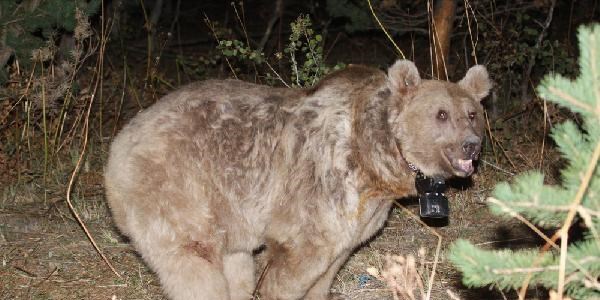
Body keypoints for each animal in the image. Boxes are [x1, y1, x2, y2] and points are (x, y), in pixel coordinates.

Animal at [105, 59, 492, 298]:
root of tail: (118, 145)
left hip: (226, 208)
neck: (376, 159)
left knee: (233, 262)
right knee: (192, 263)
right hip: (178, 187)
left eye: (471, 113)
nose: (471, 145)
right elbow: (297, 264)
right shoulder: (319, 189)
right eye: (441, 114)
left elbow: (332, 264)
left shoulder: (358, 216)